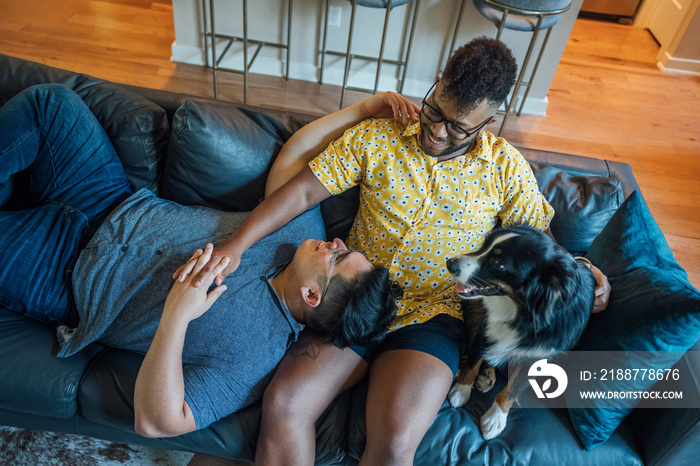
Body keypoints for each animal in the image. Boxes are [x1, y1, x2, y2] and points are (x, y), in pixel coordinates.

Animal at [446, 224, 592, 438]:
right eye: (485, 245)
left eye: (499, 263)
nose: (450, 263)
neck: (522, 312)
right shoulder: (486, 326)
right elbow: (474, 360)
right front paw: (461, 390)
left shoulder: (537, 353)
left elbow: (513, 389)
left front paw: (495, 419)